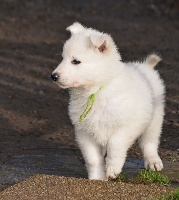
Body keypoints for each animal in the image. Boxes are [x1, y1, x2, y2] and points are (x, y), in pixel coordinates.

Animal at [50, 22, 165, 180]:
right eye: (63, 58)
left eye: (76, 61)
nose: (53, 76)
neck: (96, 91)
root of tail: (144, 66)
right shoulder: (84, 132)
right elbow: (92, 159)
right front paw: (96, 178)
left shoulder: (127, 126)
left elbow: (115, 145)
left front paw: (113, 169)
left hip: (154, 119)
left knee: (150, 142)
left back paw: (153, 162)